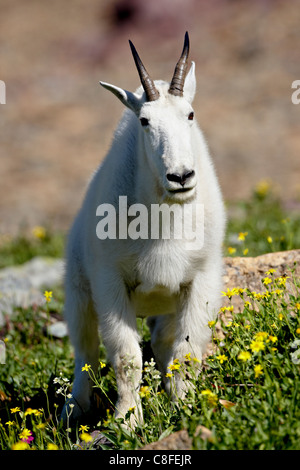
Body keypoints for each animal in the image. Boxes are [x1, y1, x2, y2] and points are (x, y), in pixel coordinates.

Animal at [61, 33, 225, 428]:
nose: (181, 177)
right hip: (78, 290)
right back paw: (73, 408)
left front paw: (184, 407)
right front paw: (127, 420)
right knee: (85, 351)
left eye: (190, 114)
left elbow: (186, 349)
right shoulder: (109, 281)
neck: (165, 218)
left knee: (164, 342)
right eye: (145, 121)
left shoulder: (202, 277)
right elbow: (126, 358)